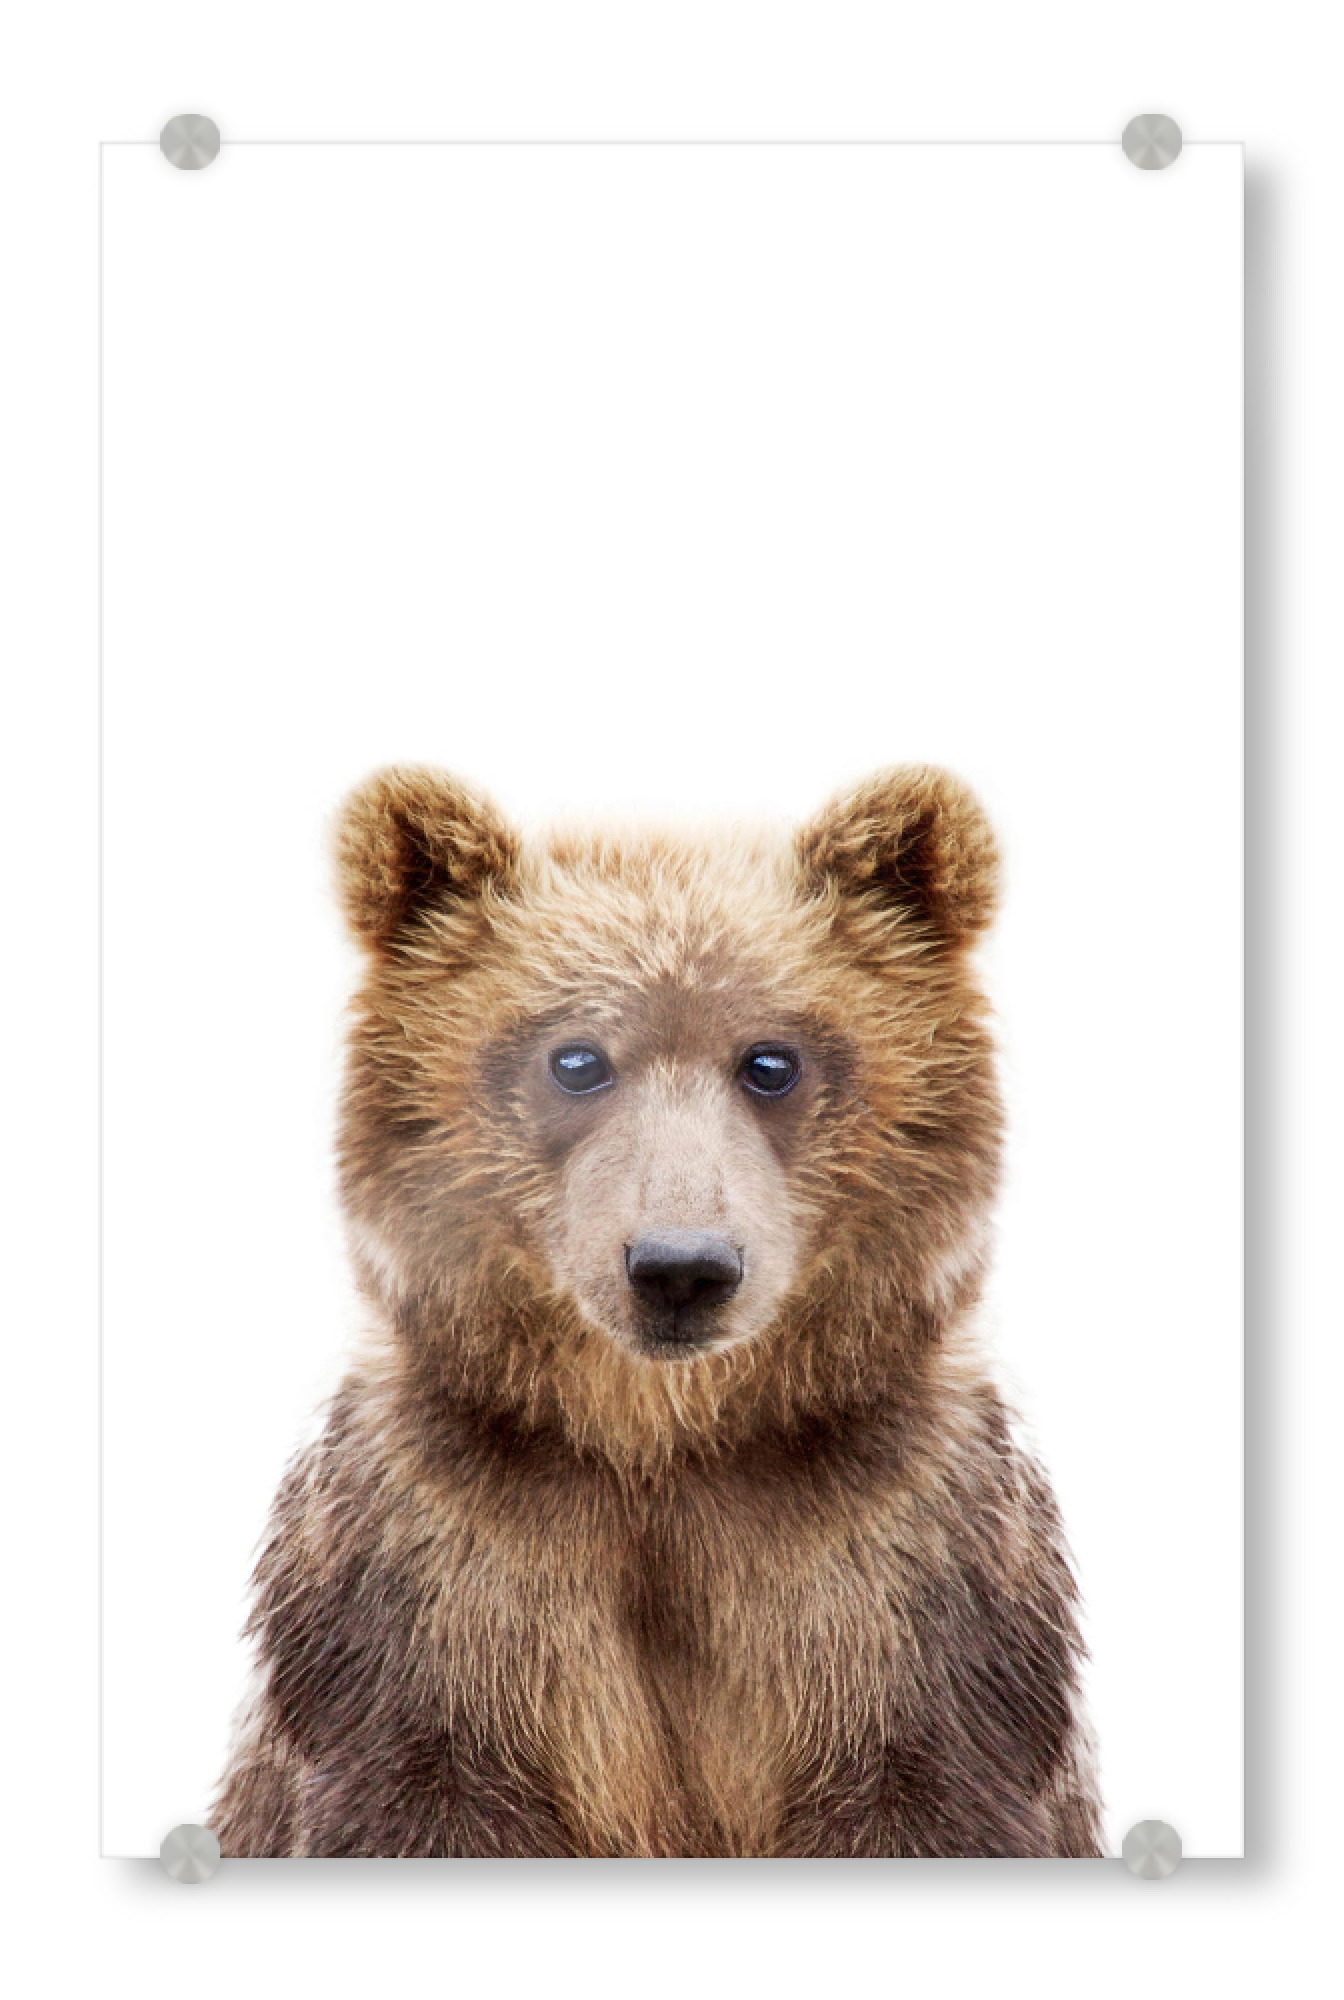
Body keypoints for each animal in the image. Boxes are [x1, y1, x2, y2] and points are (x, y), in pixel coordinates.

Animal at [211, 762, 1103, 1859]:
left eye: (771, 1059)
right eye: (576, 1057)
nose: (681, 1267)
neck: (663, 1443)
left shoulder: (904, 1577)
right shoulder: (432, 1576)